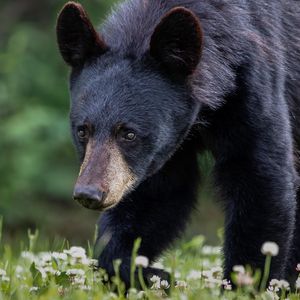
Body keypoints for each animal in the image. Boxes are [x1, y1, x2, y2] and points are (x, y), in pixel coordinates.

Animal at [55, 0, 300, 286]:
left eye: (129, 134)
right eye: (83, 131)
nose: (89, 193)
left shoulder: (252, 84)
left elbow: (259, 176)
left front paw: (246, 283)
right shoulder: (160, 150)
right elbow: (157, 195)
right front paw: (149, 274)